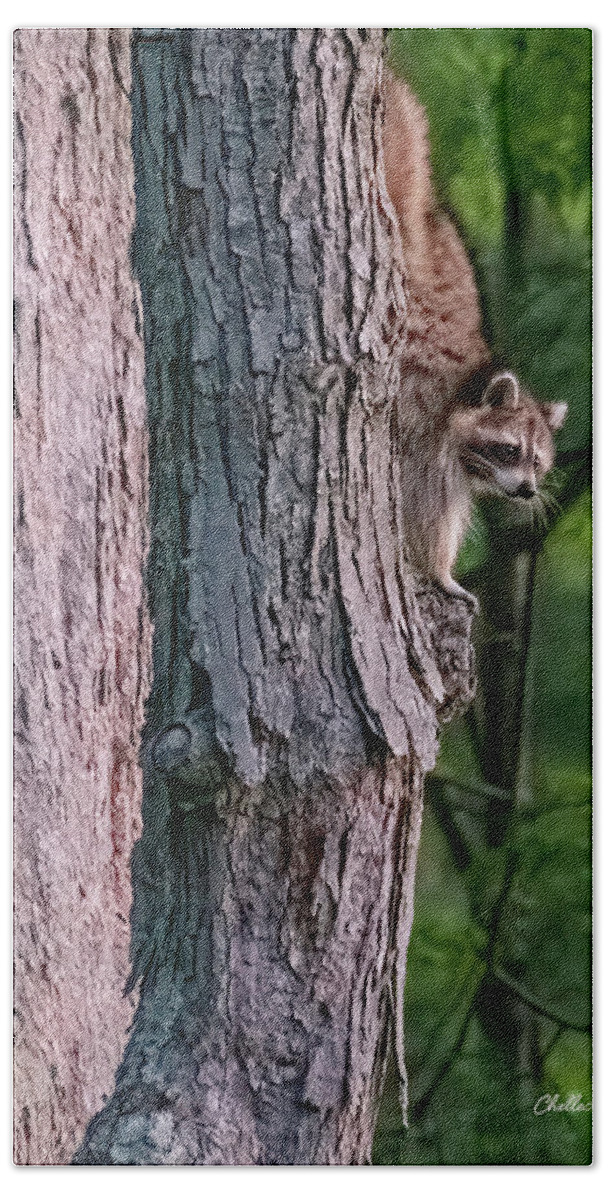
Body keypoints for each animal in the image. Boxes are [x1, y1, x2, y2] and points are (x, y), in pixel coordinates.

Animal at [383, 73, 568, 595]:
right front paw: (440, 570)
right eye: (509, 450)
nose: (527, 491)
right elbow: (428, 510)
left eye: (538, 462)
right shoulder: (426, 431)